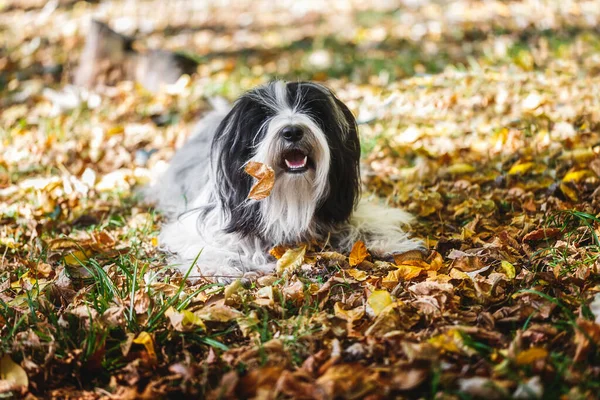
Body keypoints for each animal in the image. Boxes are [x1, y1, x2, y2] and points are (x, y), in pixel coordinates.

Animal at [148, 79, 424, 280]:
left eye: (311, 110)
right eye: (263, 117)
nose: (292, 131)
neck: (289, 195)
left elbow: (368, 221)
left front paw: (389, 242)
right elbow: (208, 244)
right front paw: (219, 266)